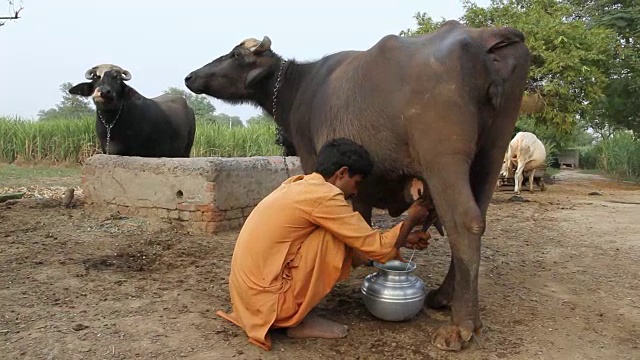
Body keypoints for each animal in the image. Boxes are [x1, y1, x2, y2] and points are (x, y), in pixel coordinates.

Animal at [184, 20, 528, 352]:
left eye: (235, 55)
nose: (189, 76)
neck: (300, 86)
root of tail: (483, 38)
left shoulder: (311, 155)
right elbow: (362, 212)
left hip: (443, 157)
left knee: (464, 222)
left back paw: (461, 326)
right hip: (492, 152)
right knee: (478, 217)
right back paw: (444, 297)